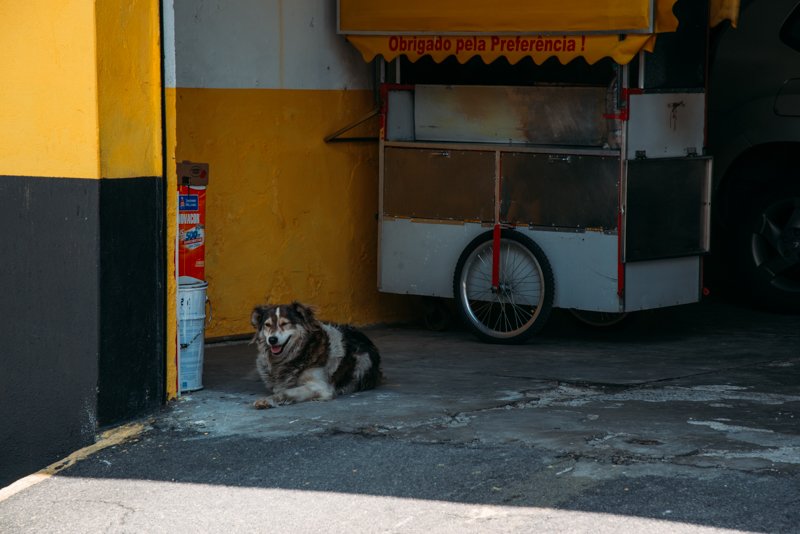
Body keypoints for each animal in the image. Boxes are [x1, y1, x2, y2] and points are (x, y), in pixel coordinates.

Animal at [252, 302, 386, 410]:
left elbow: (288, 392)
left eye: (285, 323)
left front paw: (268, 400)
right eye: (267, 325)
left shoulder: (321, 386)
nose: (272, 339)